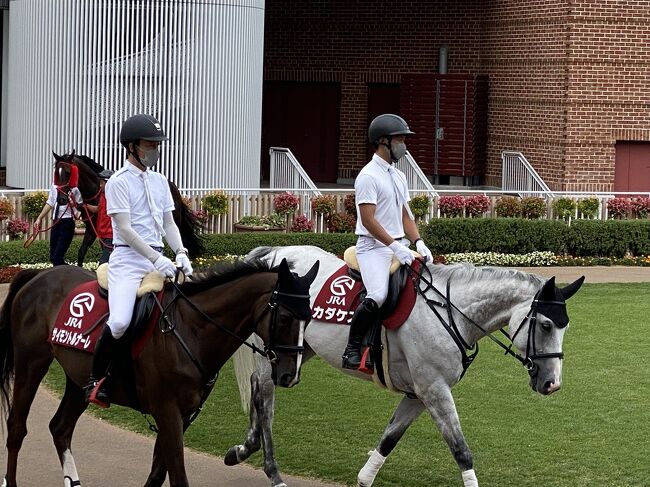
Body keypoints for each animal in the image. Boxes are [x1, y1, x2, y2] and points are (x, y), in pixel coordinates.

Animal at [0, 258, 318, 486]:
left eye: (310, 316)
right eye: (286, 316)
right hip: (31, 363)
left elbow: (157, 474)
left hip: (78, 381)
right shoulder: (168, 412)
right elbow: (177, 477)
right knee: (16, 427)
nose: (290, 375)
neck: (190, 329)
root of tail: (39, 276)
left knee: (61, 428)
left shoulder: (183, 416)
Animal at [51, 152, 202, 266]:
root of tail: (173, 186)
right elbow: (82, 252)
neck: (97, 192)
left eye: (68, 172)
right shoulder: (92, 229)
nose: (61, 199)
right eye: (56, 173)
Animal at [227, 248, 584, 487]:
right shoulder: (434, 390)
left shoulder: (418, 394)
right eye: (547, 325)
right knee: (265, 396)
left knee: (258, 387)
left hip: (301, 349)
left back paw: (244, 448)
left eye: (564, 326)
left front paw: (365, 477)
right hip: (276, 352)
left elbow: (389, 439)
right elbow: (461, 451)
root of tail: (275, 251)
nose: (552, 383)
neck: (449, 311)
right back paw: (270, 468)